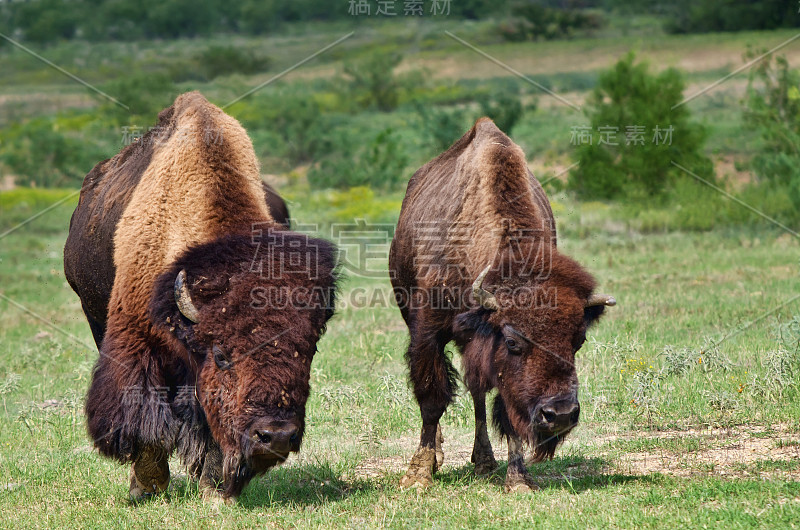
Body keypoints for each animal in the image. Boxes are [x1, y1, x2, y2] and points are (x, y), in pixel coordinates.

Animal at [64, 93, 336, 502]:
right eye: (221, 355)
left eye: (308, 350)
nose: (275, 436)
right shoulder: (138, 342)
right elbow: (144, 413)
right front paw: (147, 485)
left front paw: (214, 487)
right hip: (93, 314)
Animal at [390, 118, 616, 490]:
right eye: (512, 342)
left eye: (579, 340)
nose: (560, 415)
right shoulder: (427, 334)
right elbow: (432, 399)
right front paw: (418, 474)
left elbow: (504, 409)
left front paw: (518, 478)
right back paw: (439, 458)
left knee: (478, 394)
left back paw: (483, 461)